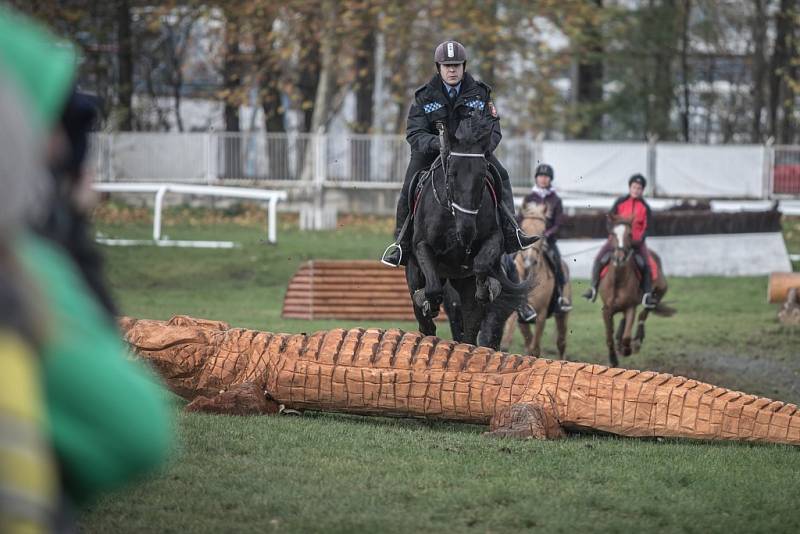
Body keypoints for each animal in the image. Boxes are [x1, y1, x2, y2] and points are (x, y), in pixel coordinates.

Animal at [406, 112, 532, 348]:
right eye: (452, 173)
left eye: (482, 175)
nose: (466, 231)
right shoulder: (421, 246)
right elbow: (432, 289)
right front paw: (428, 301)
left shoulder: (494, 240)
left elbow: (481, 265)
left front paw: (487, 288)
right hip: (414, 274)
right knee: (426, 322)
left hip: (464, 287)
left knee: (471, 331)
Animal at [500, 203, 568, 358]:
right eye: (523, 228)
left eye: (542, 231)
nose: (529, 261)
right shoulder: (520, 316)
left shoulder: (541, 315)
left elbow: (535, 348)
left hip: (562, 315)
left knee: (561, 343)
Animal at [596, 214, 672, 368]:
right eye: (613, 234)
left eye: (630, 234)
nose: (619, 257)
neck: (618, 281)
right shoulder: (606, 310)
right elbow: (609, 336)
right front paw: (613, 359)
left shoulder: (631, 307)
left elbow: (627, 336)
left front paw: (626, 349)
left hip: (659, 292)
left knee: (644, 314)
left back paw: (636, 342)